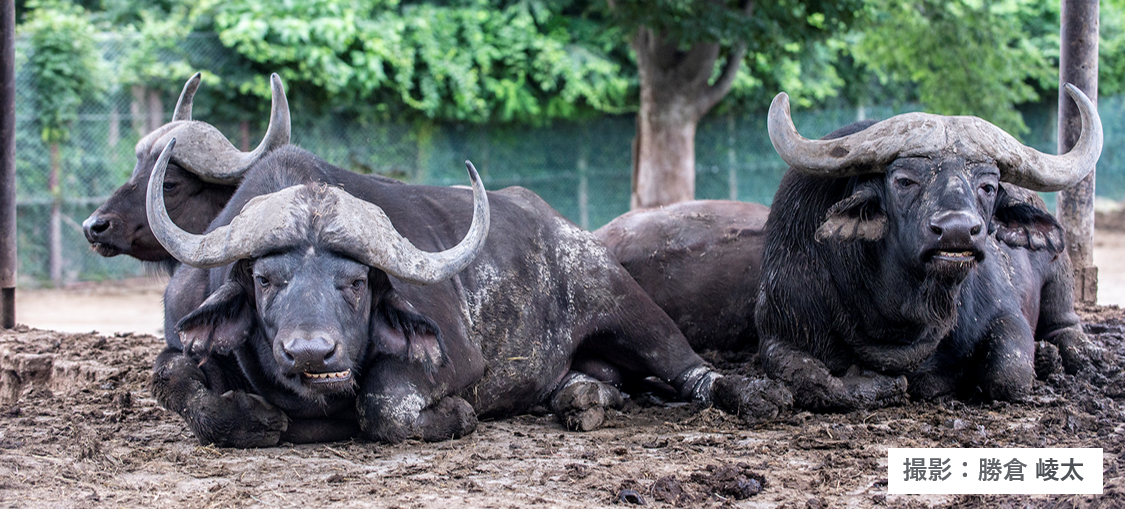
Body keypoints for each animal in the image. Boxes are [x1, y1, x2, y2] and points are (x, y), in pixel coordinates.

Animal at [751, 84, 1111, 414]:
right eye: (905, 181)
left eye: (988, 186)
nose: (958, 231)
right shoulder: (780, 330)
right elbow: (812, 379)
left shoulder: (1005, 314)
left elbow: (1009, 373)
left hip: (1059, 273)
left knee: (1065, 324)